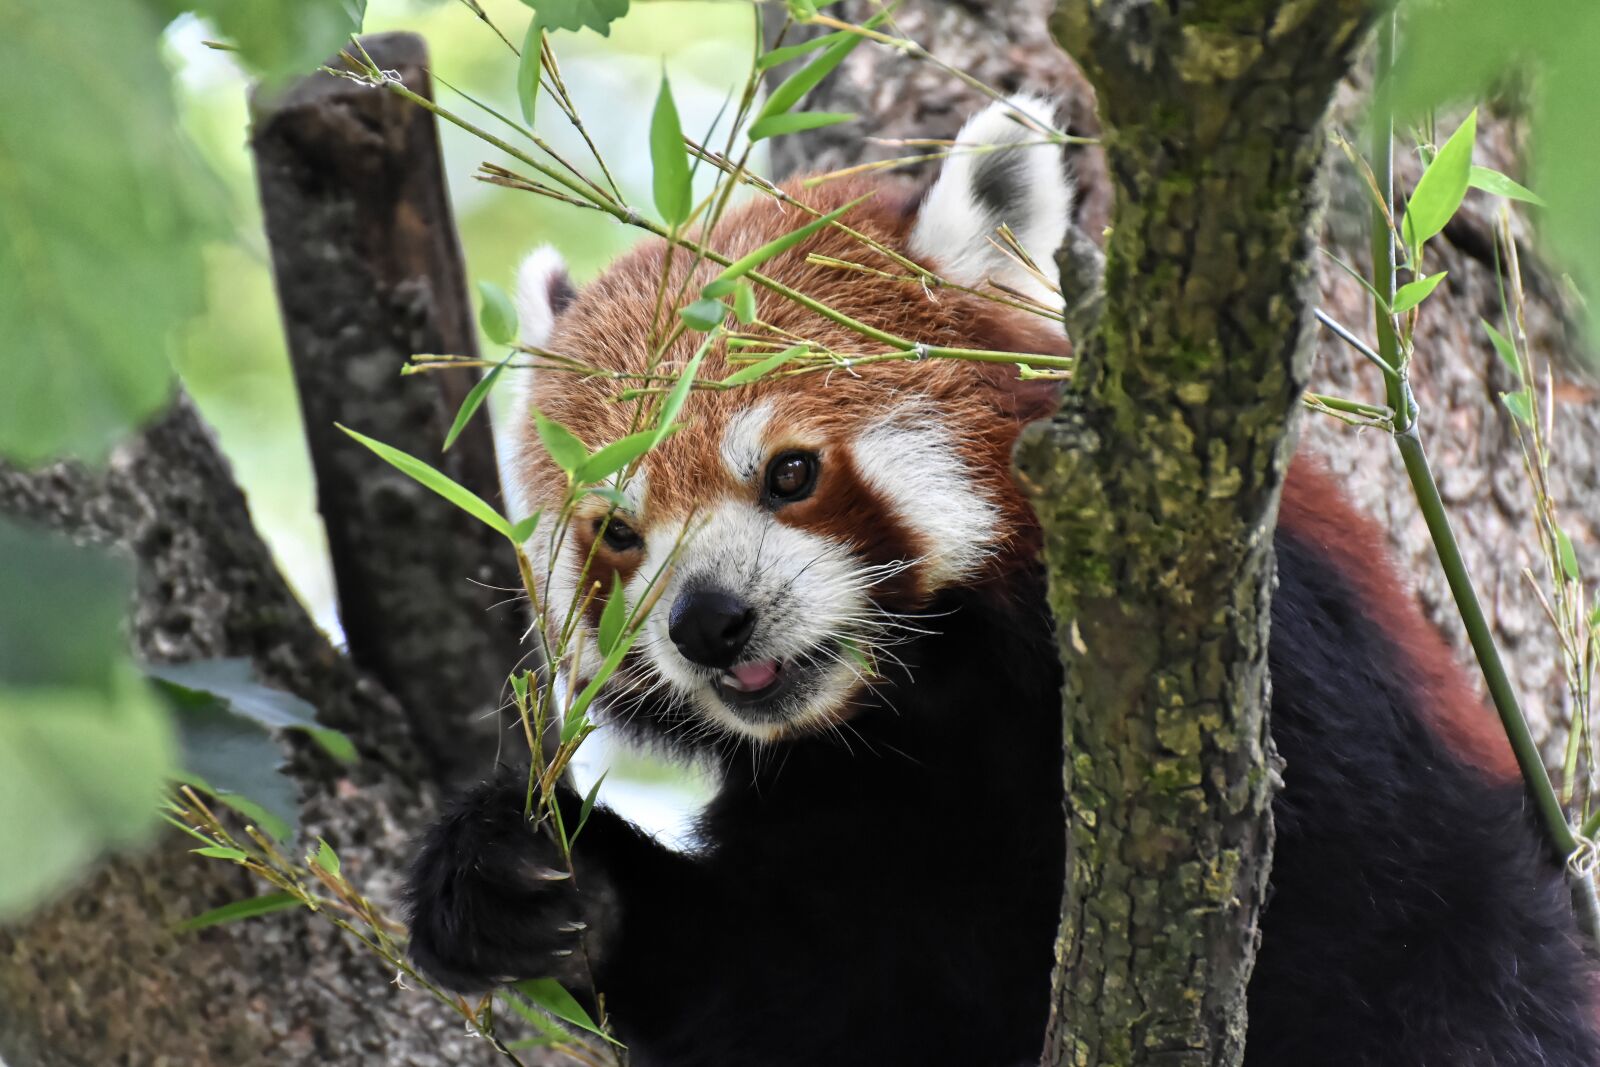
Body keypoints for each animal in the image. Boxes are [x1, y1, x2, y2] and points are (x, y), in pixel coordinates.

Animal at [405, 96, 1600, 1066]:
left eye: (790, 472)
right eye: (619, 531)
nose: (708, 622)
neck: (932, 707)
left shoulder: (1309, 691)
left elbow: (1359, 927)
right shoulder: (841, 812)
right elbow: (801, 993)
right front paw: (533, 876)